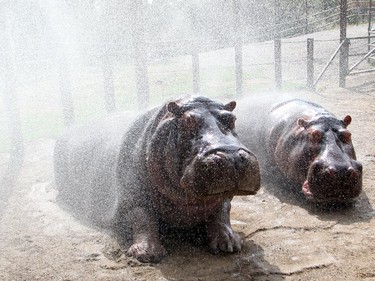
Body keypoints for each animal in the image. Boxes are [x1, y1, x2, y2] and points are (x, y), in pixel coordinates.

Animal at [53, 96, 262, 262]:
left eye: (232, 119)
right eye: (186, 122)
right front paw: (148, 255)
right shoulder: (132, 195)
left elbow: (222, 210)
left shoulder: (221, 197)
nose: (232, 158)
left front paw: (230, 244)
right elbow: (142, 216)